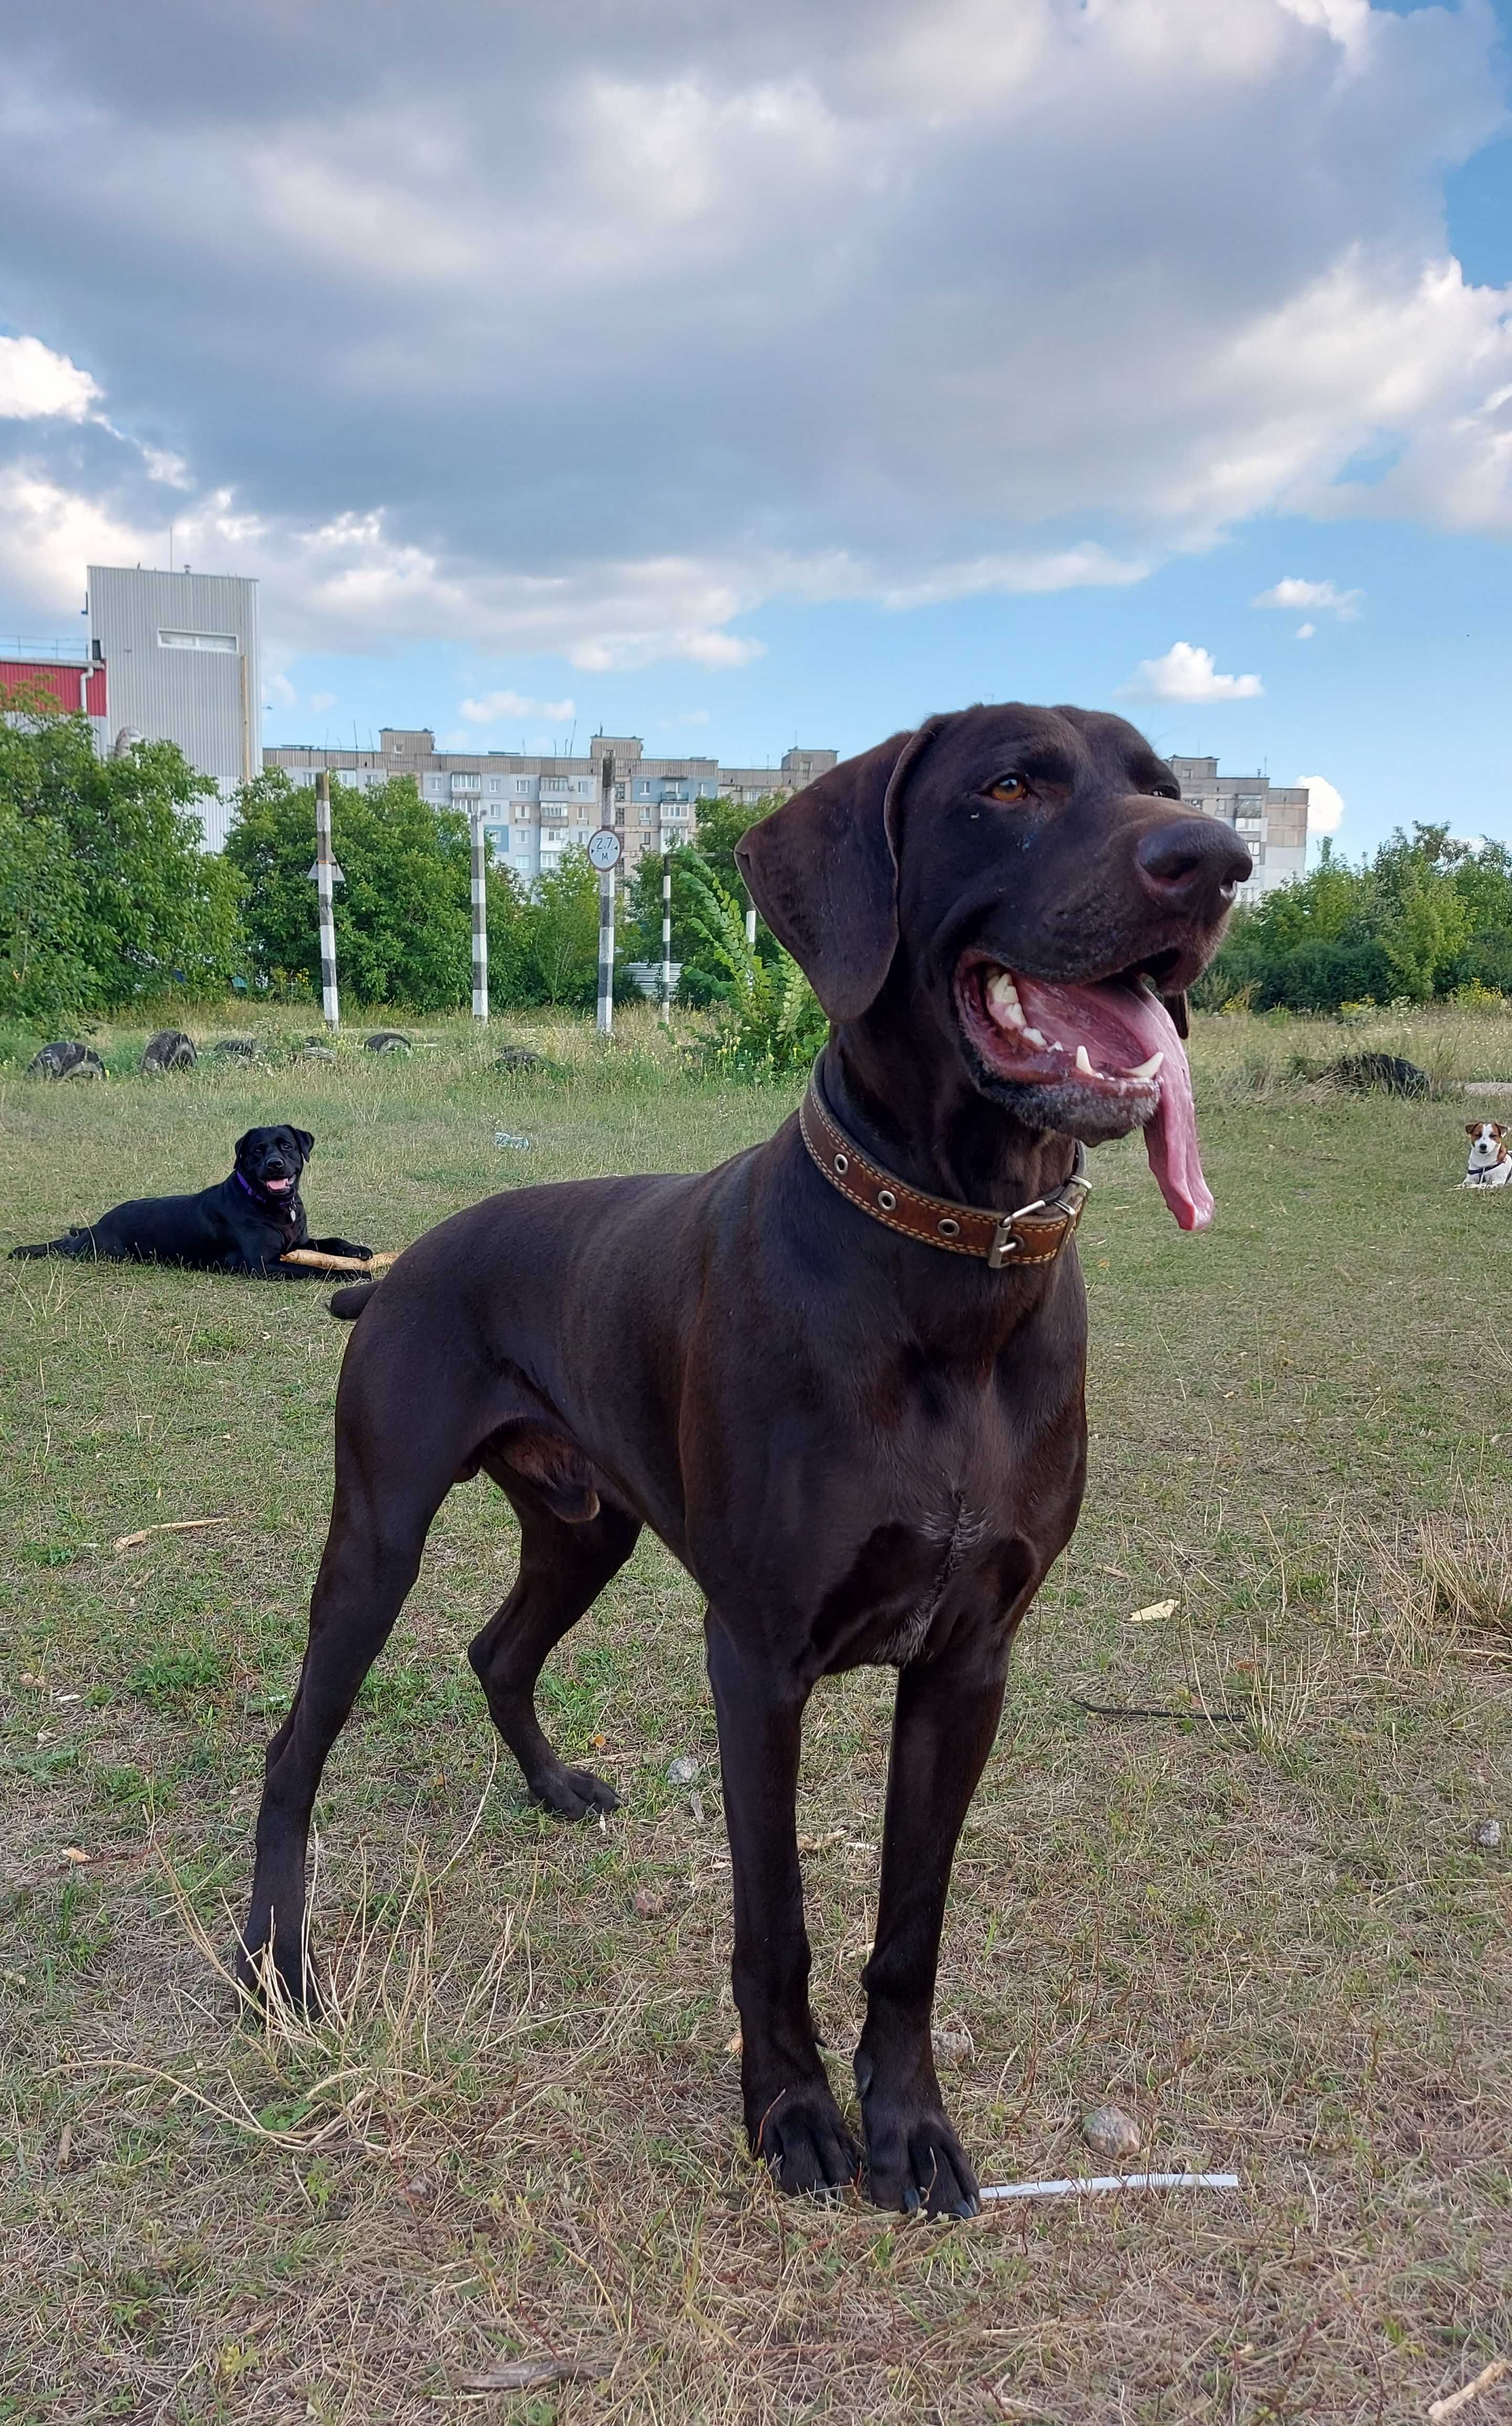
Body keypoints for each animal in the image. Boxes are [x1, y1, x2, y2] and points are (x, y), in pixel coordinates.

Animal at [9, 1125, 374, 1281]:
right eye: (257, 1151)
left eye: (286, 1146)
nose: (274, 1164)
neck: (270, 1204)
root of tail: (96, 1226)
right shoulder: (260, 1263)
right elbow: (311, 1268)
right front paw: (347, 1274)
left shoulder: (298, 1242)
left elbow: (330, 1242)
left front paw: (357, 1250)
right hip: (104, 1252)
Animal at [239, 708, 1252, 2222]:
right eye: (1009, 785)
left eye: (1163, 784)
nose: (1215, 860)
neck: (955, 1263)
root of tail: (402, 1265)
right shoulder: (759, 1658)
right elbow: (776, 1917)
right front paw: (791, 2114)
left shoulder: (968, 1663)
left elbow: (909, 1927)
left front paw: (911, 2123)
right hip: (377, 1536)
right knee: (296, 1742)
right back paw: (274, 1961)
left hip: (583, 1526)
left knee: (497, 1648)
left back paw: (555, 1789)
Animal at [1466, 1121, 1512, 1188]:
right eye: (1477, 1135)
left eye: (1493, 1135)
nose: (1483, 1146)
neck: (1484, 1160)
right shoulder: (1470, 1179)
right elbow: (1465, 1184)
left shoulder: (1498, 1181)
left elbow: (1482, 1185)